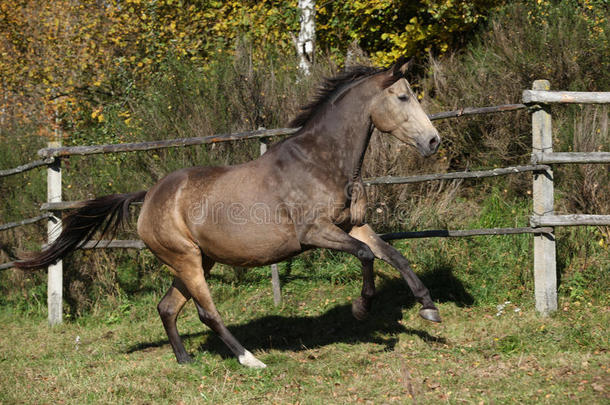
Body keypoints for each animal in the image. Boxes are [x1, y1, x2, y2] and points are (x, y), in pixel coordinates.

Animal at [16, 58, 440, 368]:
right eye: (403, 97)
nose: (433, 141)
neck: (321, 161)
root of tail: (149, 196)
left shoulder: (354, 225)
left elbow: (394, 255)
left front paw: (429, 308)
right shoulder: (316, 232)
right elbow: (367, 256)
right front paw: (361, 309)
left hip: (198, 261)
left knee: (167, 307)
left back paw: (185, 360)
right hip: (187, 261)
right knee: (208, 313)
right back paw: (250, 360)